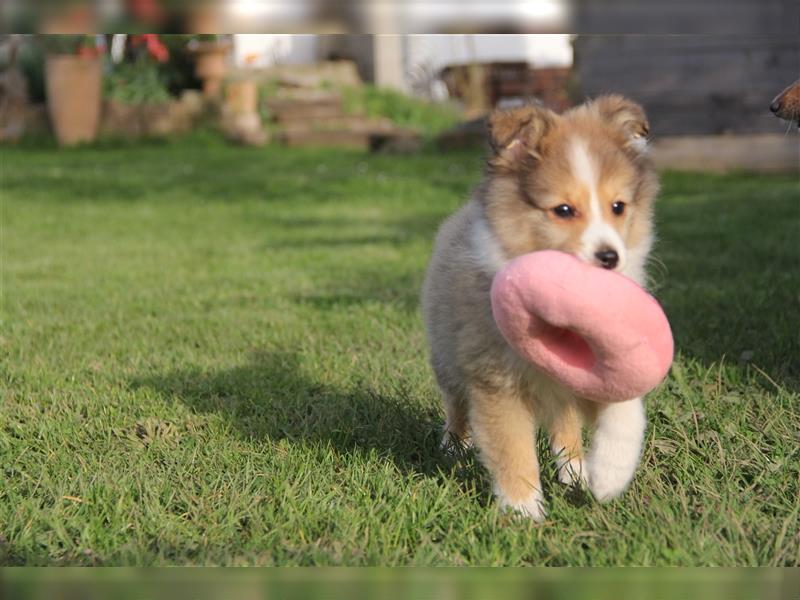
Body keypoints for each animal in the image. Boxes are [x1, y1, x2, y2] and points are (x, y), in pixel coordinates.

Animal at [422, 95, 660, 520]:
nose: (610, 258)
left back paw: (576, 470)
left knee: (564, 422)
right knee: (456, 403)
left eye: (618, 206)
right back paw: (453, 445)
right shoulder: (495, 382)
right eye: (563, 210)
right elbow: (512, 447)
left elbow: (625, 408)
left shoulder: (596, 370)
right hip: (447, 355)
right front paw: (524, 512)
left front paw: (610, 472)